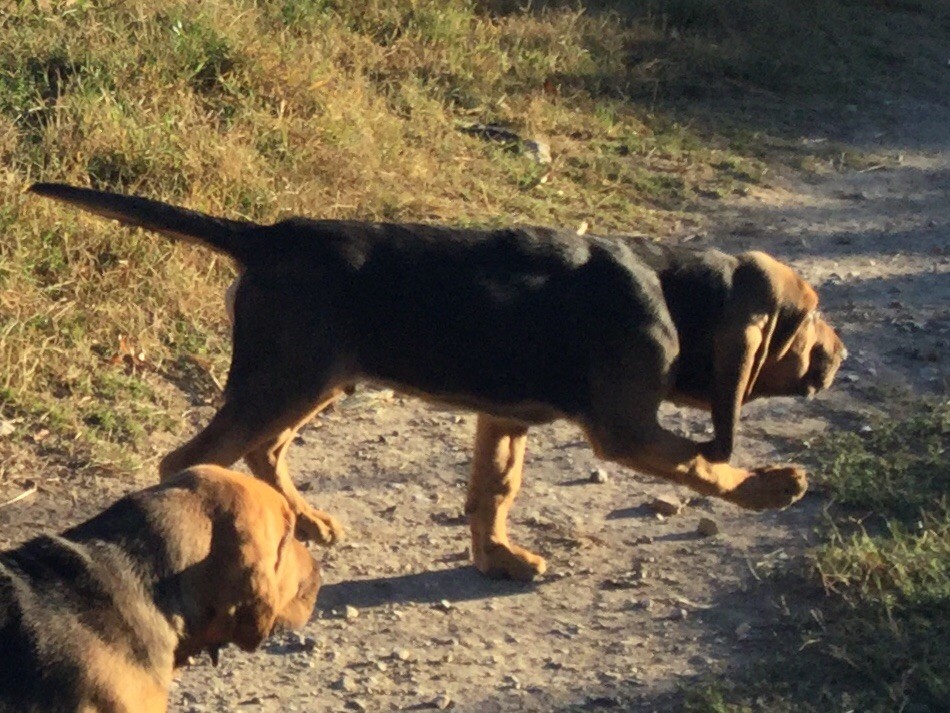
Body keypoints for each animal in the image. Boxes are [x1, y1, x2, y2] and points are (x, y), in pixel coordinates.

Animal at [27, 182, 848, 580]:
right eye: (809, 315)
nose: (841, 355)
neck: (676, 290)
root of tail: (264, 237)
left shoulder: (506, 416)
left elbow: (494, 491)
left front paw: (498, 559)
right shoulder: (627, 430)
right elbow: (709, 463)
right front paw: (774, 486)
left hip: (315, 378)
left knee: (265, 448)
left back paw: (306, 518)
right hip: (287, 376)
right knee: (192, 458)